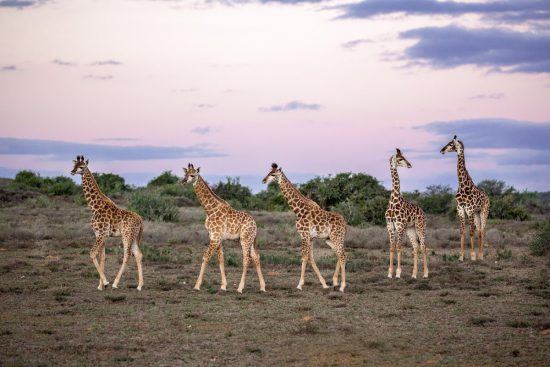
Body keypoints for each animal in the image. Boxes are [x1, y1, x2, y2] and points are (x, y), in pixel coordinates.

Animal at [70, 155, 144, 290]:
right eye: (74, 165)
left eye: (82, 167)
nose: (72, 172)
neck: (94, 206)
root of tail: (141, 220)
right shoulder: (100, 234)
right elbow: (102, 257)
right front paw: (100, 286)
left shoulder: (102, 233)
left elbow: (93, 253)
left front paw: (105, 282)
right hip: (134, 237)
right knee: (138, 254)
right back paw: (139, 285)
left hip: (127, 236)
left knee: (127, 255)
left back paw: (115, 283)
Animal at [182, 164, 266, 294]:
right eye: (185, 174)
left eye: (192, 175)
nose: (183, 181)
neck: (210, 210)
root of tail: (255, 224)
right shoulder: (216, 237)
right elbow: (220, 259)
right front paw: (223, 286)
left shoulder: (215, 237)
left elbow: (206, 256)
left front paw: (197, 285)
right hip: (250, 240)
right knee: (256, 257)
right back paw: (262, 287)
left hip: (245, 239)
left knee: (246, 259)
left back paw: (240, 288)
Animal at [264, 164, 350, 294]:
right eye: (268, 172)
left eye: (273, 174)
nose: (263, 180)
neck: (298, 210)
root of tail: (344, 223)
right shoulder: (311, 237)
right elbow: (311, 257)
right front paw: (324, 284)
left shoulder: (303, 234)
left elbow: (304, 257)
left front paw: (299, 285)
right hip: (329, 239)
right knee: (339, 254)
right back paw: (335, 282)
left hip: (336, 237)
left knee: (343, 255)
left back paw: (342, 286)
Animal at [386, 149, 430, 278]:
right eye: (400, 159)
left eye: (404, 157)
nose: (409, 165)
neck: (394, 201)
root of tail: (422, 211)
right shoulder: (390, 227)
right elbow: (392, 247)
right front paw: (390, 273)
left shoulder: (400, 227)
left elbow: (399, 247)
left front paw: (398, 273)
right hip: (411, 229)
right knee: (415, 247)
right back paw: (414, 275)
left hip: (420, 227)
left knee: (423, 246)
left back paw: (425, 274)